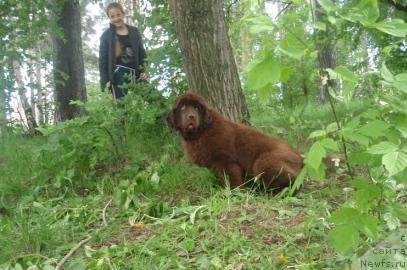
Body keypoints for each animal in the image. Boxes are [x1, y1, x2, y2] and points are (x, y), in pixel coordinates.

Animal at [165, 91, 302, 192]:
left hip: (264, 162)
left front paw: (234, 193)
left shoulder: (226, 161)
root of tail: (300, 157)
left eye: (196, 107)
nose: (191, 116)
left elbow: (232, 179)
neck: (202, 132)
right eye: (183, 107)